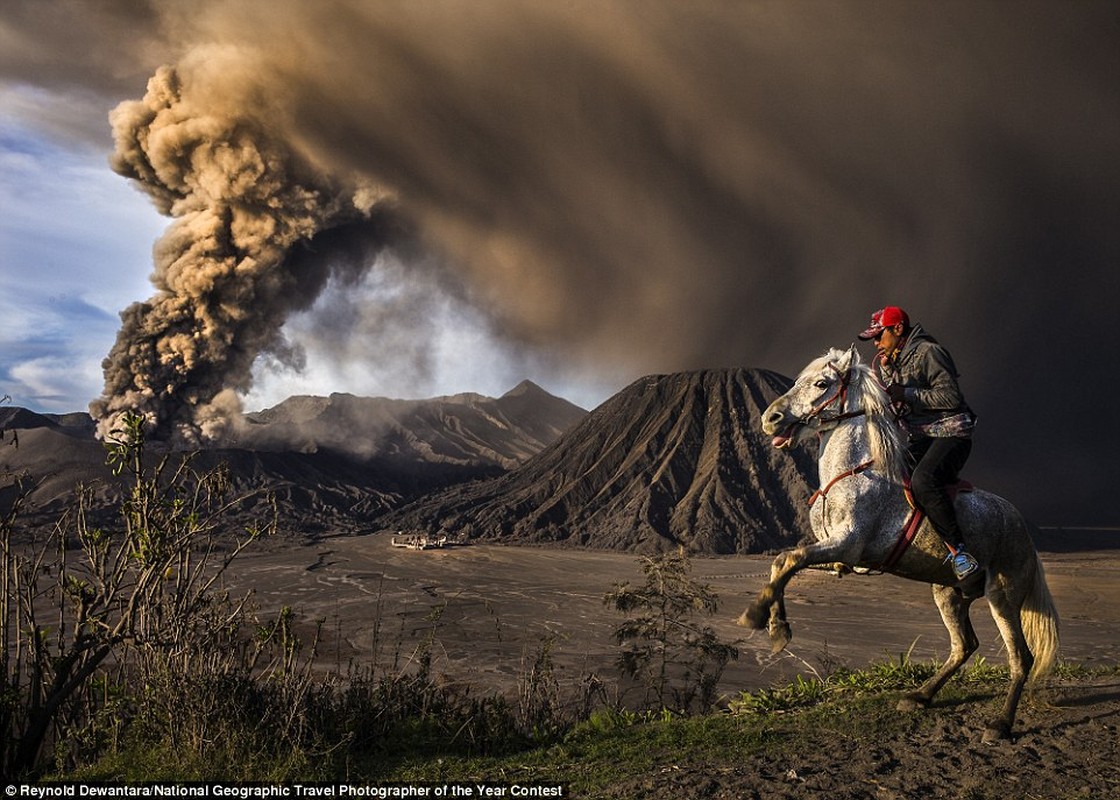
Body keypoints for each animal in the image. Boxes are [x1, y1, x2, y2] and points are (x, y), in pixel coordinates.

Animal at [739, 345, 1061, 739]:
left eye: (821, 383)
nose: (770, 418)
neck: (855, 473)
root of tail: (1021, 527)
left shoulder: (847, 545)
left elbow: (789, 560)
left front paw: (757, 617)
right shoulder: (839, 558)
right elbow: (783, 562)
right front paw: (777, 628)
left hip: (1003, 595)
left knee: (1021, 658)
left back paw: (1000, 724)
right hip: (948, 593)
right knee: (964, 645)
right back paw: (919, 696)